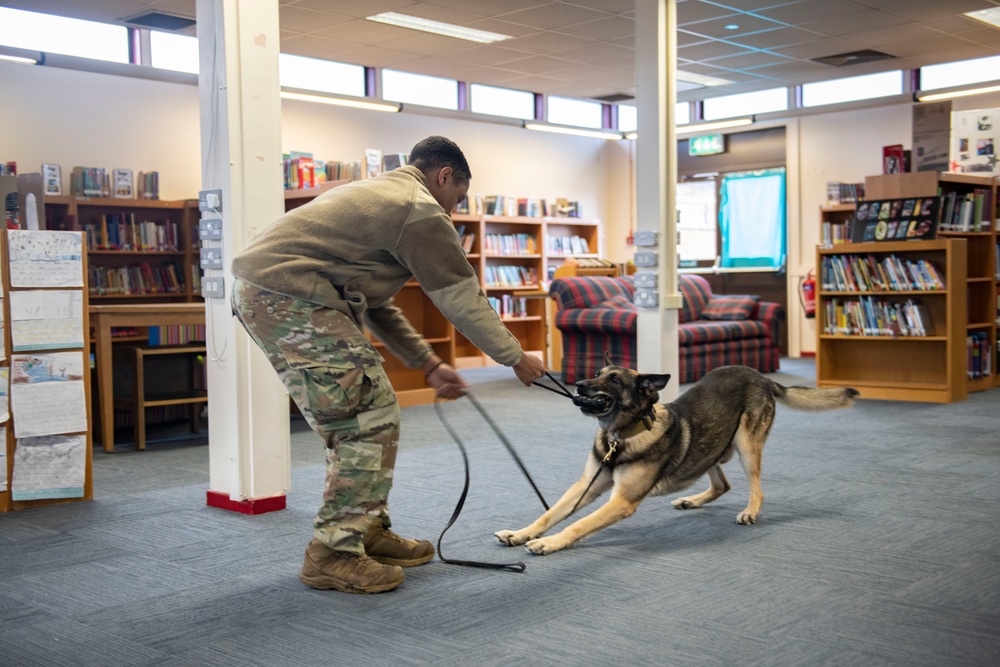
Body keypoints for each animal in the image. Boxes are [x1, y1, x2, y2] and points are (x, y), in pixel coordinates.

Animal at [496, 362, 856, 556]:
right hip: (710, 447)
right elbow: (549, 514)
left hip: (746, 444)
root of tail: (761, 376)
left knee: (756, 487)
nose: (579, 384)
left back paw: (751, 511)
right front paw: (522, 533)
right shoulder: (586, 485)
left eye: (614, 379)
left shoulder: (621, 501)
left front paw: (550, 543)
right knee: (722, 484)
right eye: (598, 373)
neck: (620, 436)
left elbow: (578, 523)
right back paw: (692, 500)